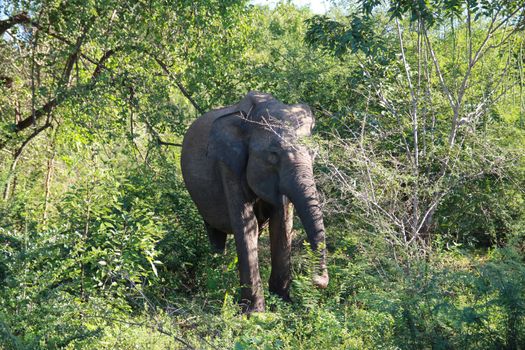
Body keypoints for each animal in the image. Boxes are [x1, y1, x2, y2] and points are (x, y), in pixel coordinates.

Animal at [180, 90, 328, 312]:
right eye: (273, 155)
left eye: (313, 154)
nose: (318, 281)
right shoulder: (228, 165)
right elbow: (246, 223)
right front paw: (255, 313)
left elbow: (282, 224)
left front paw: (282, 303)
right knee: (215, 233)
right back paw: (217, 269)